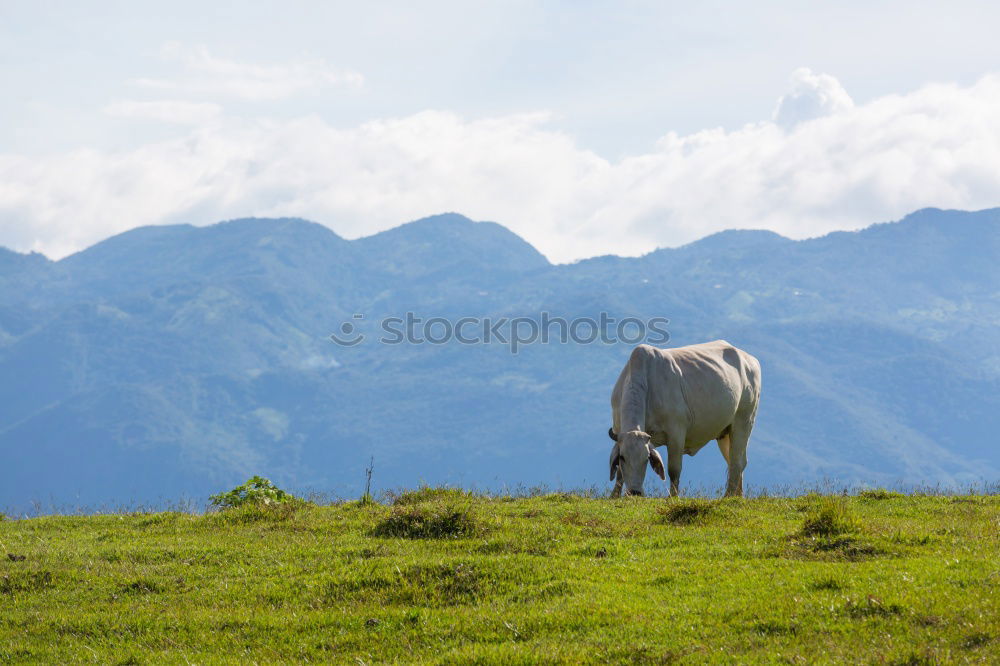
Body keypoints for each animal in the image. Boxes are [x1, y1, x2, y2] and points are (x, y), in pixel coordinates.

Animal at [604, 340, 760, 496]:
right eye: (622, 457)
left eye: (646, 458)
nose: (635, 492)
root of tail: (750, 359)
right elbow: (619, 474)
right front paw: (614, 496)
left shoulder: (676, 433)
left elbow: (674, 470)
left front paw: (673, 497)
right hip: (725, 433)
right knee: (733, 460)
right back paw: (738, 496)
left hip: (744, 421)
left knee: (737, 462)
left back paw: (727, 496)